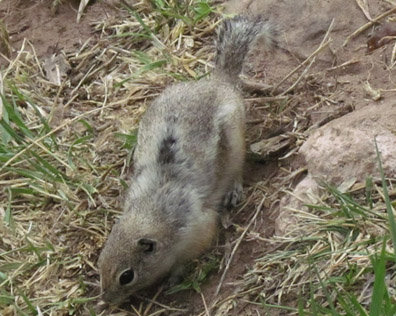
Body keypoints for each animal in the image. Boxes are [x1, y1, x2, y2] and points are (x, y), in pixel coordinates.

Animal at [98, 14, 276, 304]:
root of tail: (219, 82)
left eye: (127, 276)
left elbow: (185, 260)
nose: (106, 301)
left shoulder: (198, 232)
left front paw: (173, 278)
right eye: (100, 263)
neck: (154, 212)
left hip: (236, 144)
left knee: (238, 169)